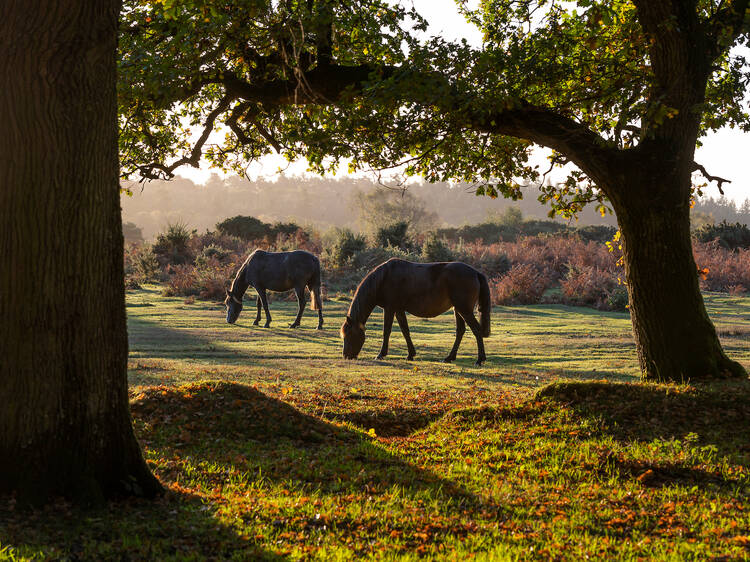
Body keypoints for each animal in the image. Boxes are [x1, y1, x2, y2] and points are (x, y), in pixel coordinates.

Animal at [340, 258, 494, 364]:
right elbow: (405, 330)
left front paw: (381, 354)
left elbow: (387, 331)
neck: (384, 278)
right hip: (458, 310)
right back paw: (449, 357)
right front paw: (410, 354)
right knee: (460, 331)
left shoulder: (390, 308)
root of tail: (476, 273)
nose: (346, 356)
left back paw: (479, 359)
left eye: (349, 335)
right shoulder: (399, 309)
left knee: (476, 330)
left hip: (464, 310)